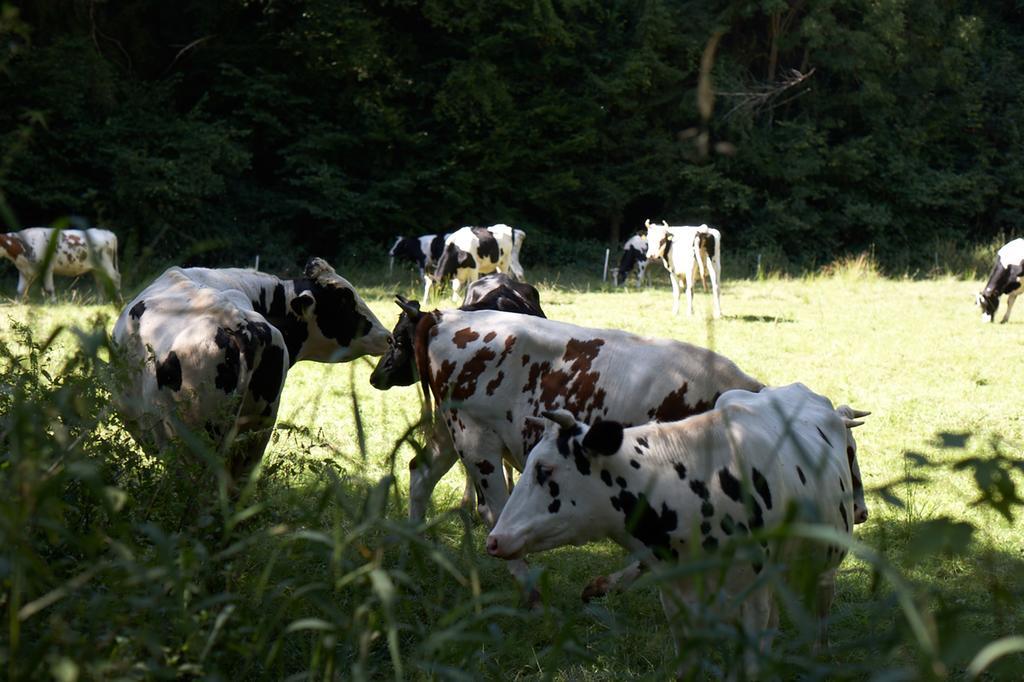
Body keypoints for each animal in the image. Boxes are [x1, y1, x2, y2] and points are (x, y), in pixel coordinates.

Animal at [368, 303, 761, 585]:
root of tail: (439, 317)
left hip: (450, 432)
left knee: (420, 474)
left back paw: (416, 548)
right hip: (476, 439)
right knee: (494, 509)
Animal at [483, 382, 868, 663]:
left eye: (545, 470)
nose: (494, 540)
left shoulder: (752, 602)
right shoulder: (676, 601)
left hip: (823, 567)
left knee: (821, 614)